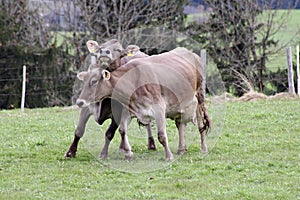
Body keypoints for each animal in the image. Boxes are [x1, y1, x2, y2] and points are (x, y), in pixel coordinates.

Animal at [76, 47, 210, 161]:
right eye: (83, 82)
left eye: (94, 81)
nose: (79, 102)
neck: (134, 80)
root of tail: (191, 54)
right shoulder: (129, 109)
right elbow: (122, 130)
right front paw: (128, 154)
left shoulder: (159, 108)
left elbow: (162, 135)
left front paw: (169, 156)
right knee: (180, 124)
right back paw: (181, 149)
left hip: (199, 98)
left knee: (201, 124)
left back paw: (203, 148)